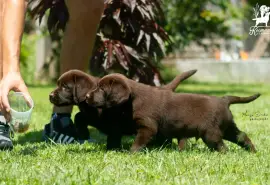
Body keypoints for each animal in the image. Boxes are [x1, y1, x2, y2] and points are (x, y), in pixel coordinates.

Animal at [86, 73, 260, 152]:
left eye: (101, 89)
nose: (87, 96)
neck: (133, 100)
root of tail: (224, 100)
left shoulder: (148, 127)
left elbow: (139, 141)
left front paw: (131, 153)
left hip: (210, 132)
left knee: (221, 145)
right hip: (228, 126)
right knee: (241, 136)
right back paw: (252, 151)